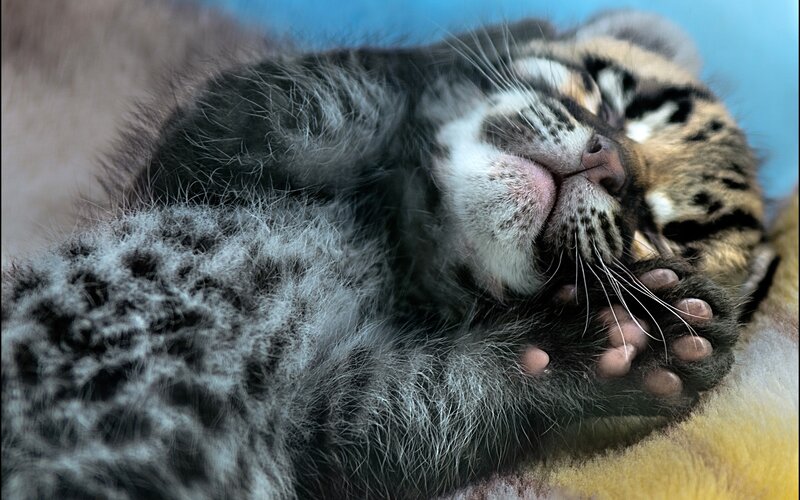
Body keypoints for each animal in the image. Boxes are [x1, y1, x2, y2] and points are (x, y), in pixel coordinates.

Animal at [1, 9, 773, 499]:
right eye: (614, 106)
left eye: (656, 228)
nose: (608, 160)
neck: (398, 249)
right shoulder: (191, 159)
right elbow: (319, 90)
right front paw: (468, 61)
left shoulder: (327, 423)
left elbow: (431, 402)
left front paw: (623, 338)